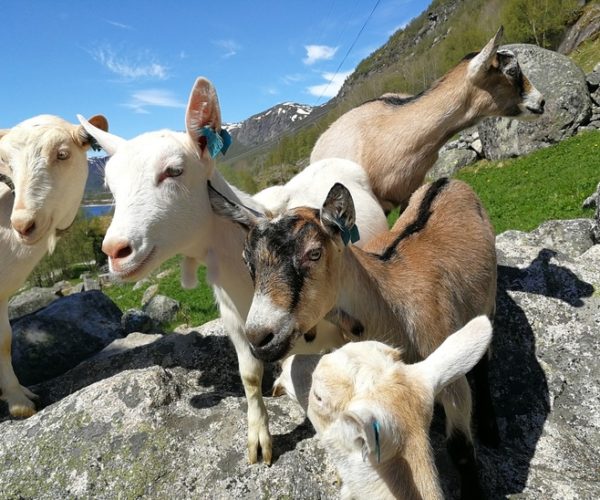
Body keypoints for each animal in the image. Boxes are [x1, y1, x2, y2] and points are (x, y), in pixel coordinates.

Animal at [0, 114, 109, 418]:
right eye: (7, 162)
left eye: (62, 154)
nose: (23, 224)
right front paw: (19, 404)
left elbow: (5, 341)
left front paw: (19, 394)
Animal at [77, 77, 386, 464]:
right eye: (110, 188)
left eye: (174, 170)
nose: (115, 251)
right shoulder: (236, 321)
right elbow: (250, 376)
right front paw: (259, 439)